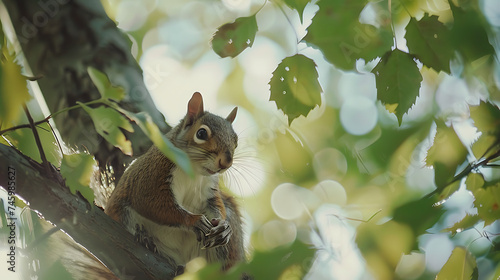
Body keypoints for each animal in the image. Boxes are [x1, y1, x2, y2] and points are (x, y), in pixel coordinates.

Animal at [106, 92, 246, 276]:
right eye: (201, 133)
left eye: (236, 141)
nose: (226, 162)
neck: (194, 170)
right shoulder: (152, 175)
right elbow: (152, 202)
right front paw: (195, 221)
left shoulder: (209, 189)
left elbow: (216, 205)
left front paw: (224, 227)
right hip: (125, 216)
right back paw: (145, 239)